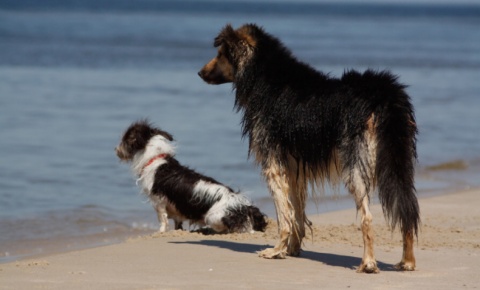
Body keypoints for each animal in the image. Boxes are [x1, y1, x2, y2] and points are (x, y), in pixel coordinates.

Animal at [115, 120, 268, 233]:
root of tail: (243, 206)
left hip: (213, 216)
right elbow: (177, 221)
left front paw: (160, 232)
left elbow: (162, 219)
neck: (156, 158)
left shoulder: (158, 200)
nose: (115, 149)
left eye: (125, 140)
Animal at [199, 23, 420, 274]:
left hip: (356, 163)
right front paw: (292, 249)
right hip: (398, 157)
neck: (264, 76)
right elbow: (297, 211)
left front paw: (277, 250)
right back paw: (407, 261)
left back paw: (369, 263)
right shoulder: (294, 166)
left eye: (220, 55)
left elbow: (284, 215)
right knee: (406, 207)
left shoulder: (273, 164)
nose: (200, 73)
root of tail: (383, 96)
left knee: (367, 217)